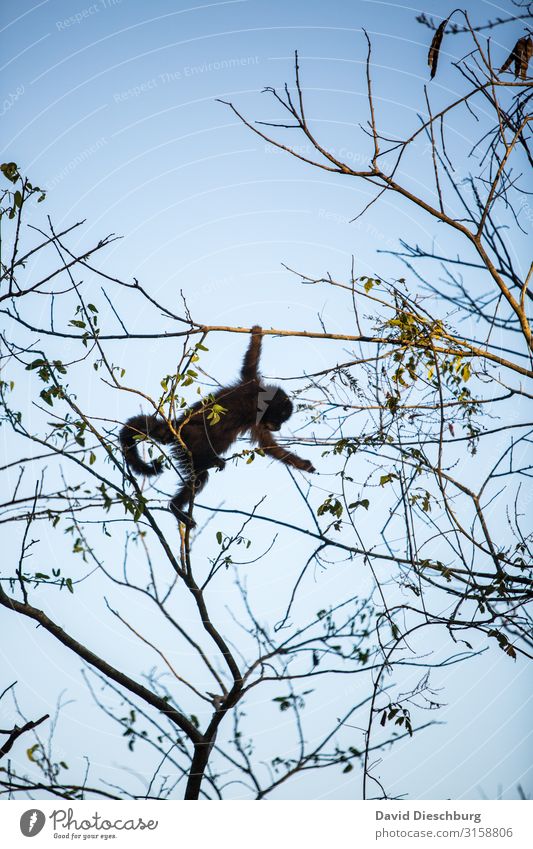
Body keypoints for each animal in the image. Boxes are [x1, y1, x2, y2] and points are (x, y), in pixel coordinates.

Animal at [118, 326, 314, 528]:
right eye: (279, 419)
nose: (277, 427)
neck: (258, 402)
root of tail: (176, 425)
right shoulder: (253, 391)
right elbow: (250, 364)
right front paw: (257, 332)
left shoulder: (255, 397)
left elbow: (268, 446)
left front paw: (303, 465)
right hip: (190, 438)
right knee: (206, 457)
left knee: (199, 475)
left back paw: (177, 505)